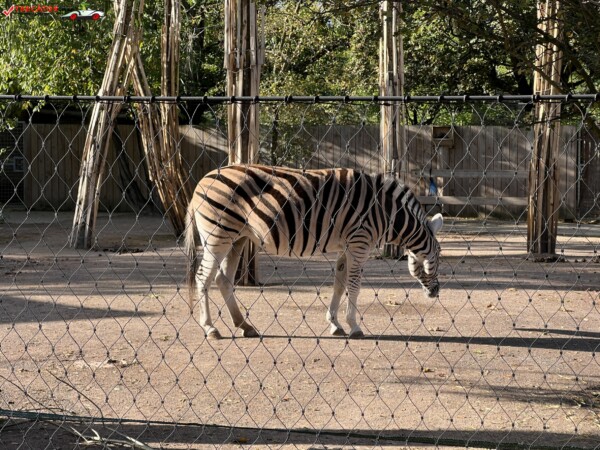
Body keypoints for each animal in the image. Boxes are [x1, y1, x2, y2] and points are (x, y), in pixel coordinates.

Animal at [184, 164, 443, 339]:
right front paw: (354, 326)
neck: (385, 212)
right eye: (439, 254)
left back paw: (244, 326)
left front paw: (335, 324)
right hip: (218, 235)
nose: (436, 292)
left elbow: (339, 284)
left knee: (223, 280)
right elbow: (354, 285)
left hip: (237, 238)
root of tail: (200, 182)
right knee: (203, 278)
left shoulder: (346, 247)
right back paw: (210, 328)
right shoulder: (359, 243)